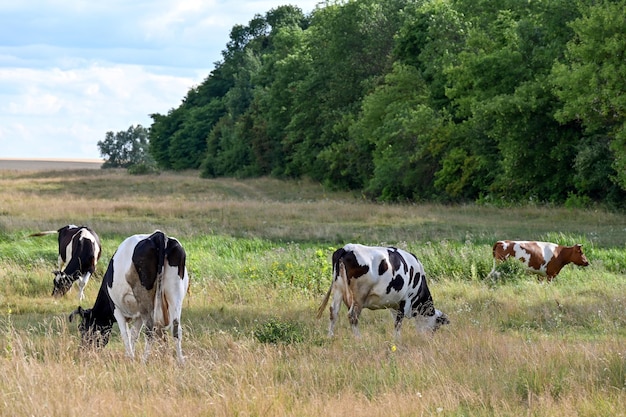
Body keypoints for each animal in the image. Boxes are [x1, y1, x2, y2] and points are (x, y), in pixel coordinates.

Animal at [68, 229, 189, 362]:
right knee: (176, 328)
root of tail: (158, 235)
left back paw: (144, 361)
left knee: (150, 330)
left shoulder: (116, 308)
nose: (82, 351)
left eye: (81, 327)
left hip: (144, 296)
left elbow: (126, 334)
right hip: (175, 294)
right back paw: (181, 361)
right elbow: (134, 334)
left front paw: (130, 358)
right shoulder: (139, 314)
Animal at [316, 244, 448, 338]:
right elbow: (398, 323)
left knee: (333, 312)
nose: (428, 339)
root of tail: (346, 248)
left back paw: (330, 337)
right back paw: (358, 339)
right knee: (353, 316)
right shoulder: (406, 300)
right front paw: (397, 341)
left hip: (338, 288)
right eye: (436, 327)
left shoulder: (395, 304)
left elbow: (396, 321)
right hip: (359, 295)